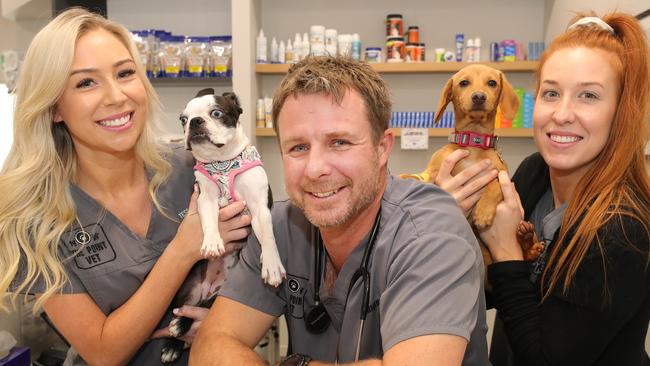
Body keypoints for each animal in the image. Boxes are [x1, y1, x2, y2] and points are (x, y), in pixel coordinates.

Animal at [159, 89, 284, 364]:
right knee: (181, 311)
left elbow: (269, 237)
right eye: (183, 119)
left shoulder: (259, 207)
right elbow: (209, 221)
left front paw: (270, 264)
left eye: (216, 113)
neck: (222, 162)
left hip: (222, 295)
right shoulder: (204, 198)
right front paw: (213, 242)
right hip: (186, 289)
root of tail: (209, 290)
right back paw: (174, 338)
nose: (195, 122)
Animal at [400, 64, 540, 274]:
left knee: (527, 253)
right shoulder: (435, 168)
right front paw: (408, 177)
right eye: (464, 82)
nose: (479, 97)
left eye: (492, 83)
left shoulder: (503, 177)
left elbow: (494, 185)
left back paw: (530, 242)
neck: (473, 142)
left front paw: (482, 212)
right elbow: (424, 175)